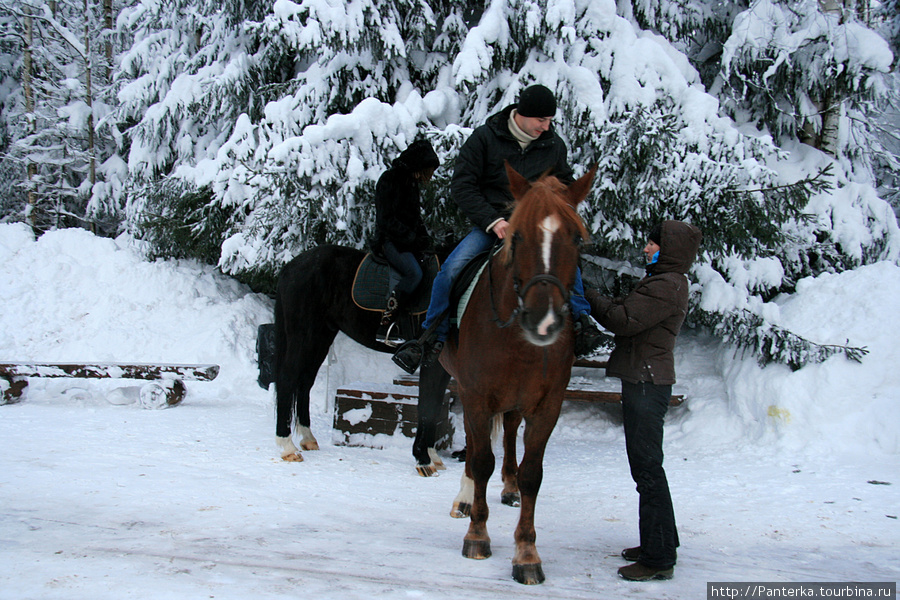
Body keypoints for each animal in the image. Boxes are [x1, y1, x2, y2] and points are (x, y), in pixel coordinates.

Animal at [440, 162, 596, 584]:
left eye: (576, 238)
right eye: (517, 234)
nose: (543, 321)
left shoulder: (547, 406)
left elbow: (532, 474)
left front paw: (526, 553)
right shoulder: (477, 396)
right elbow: (480, 461)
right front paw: (477, 535)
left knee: (509, 431)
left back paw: (507, 487)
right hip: (463, 388)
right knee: (476, 446)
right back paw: (464, 499)